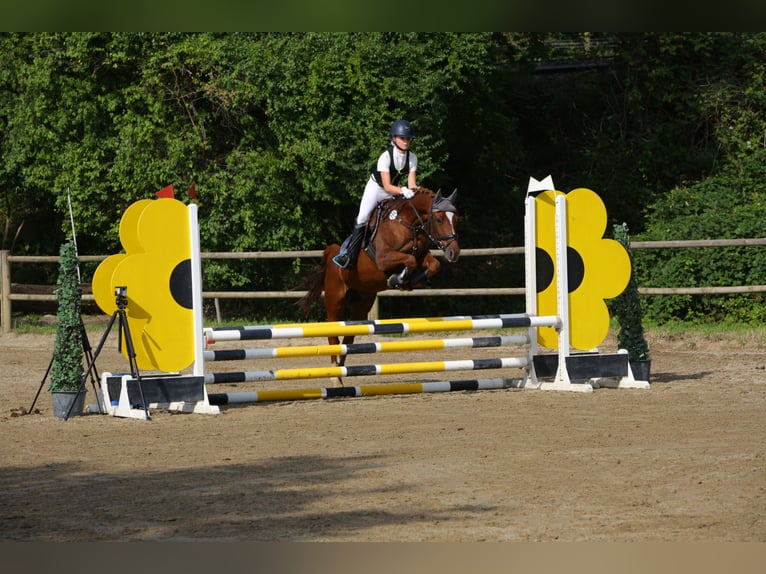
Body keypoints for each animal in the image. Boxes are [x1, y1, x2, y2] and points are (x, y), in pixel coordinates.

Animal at [296, 189, 460, 384]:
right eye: (440, 219)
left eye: (456, 219)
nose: (454, 252)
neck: (409, 224)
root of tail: (332, 255)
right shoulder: (383, 258)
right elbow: (409, 260)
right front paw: (397, 279)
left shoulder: (422, 256)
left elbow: (433, 264)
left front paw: (408, 281)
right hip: (334, 300)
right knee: (333, 335)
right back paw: (335, 376)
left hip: (362, 302)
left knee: (349, 338)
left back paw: (341, 369)